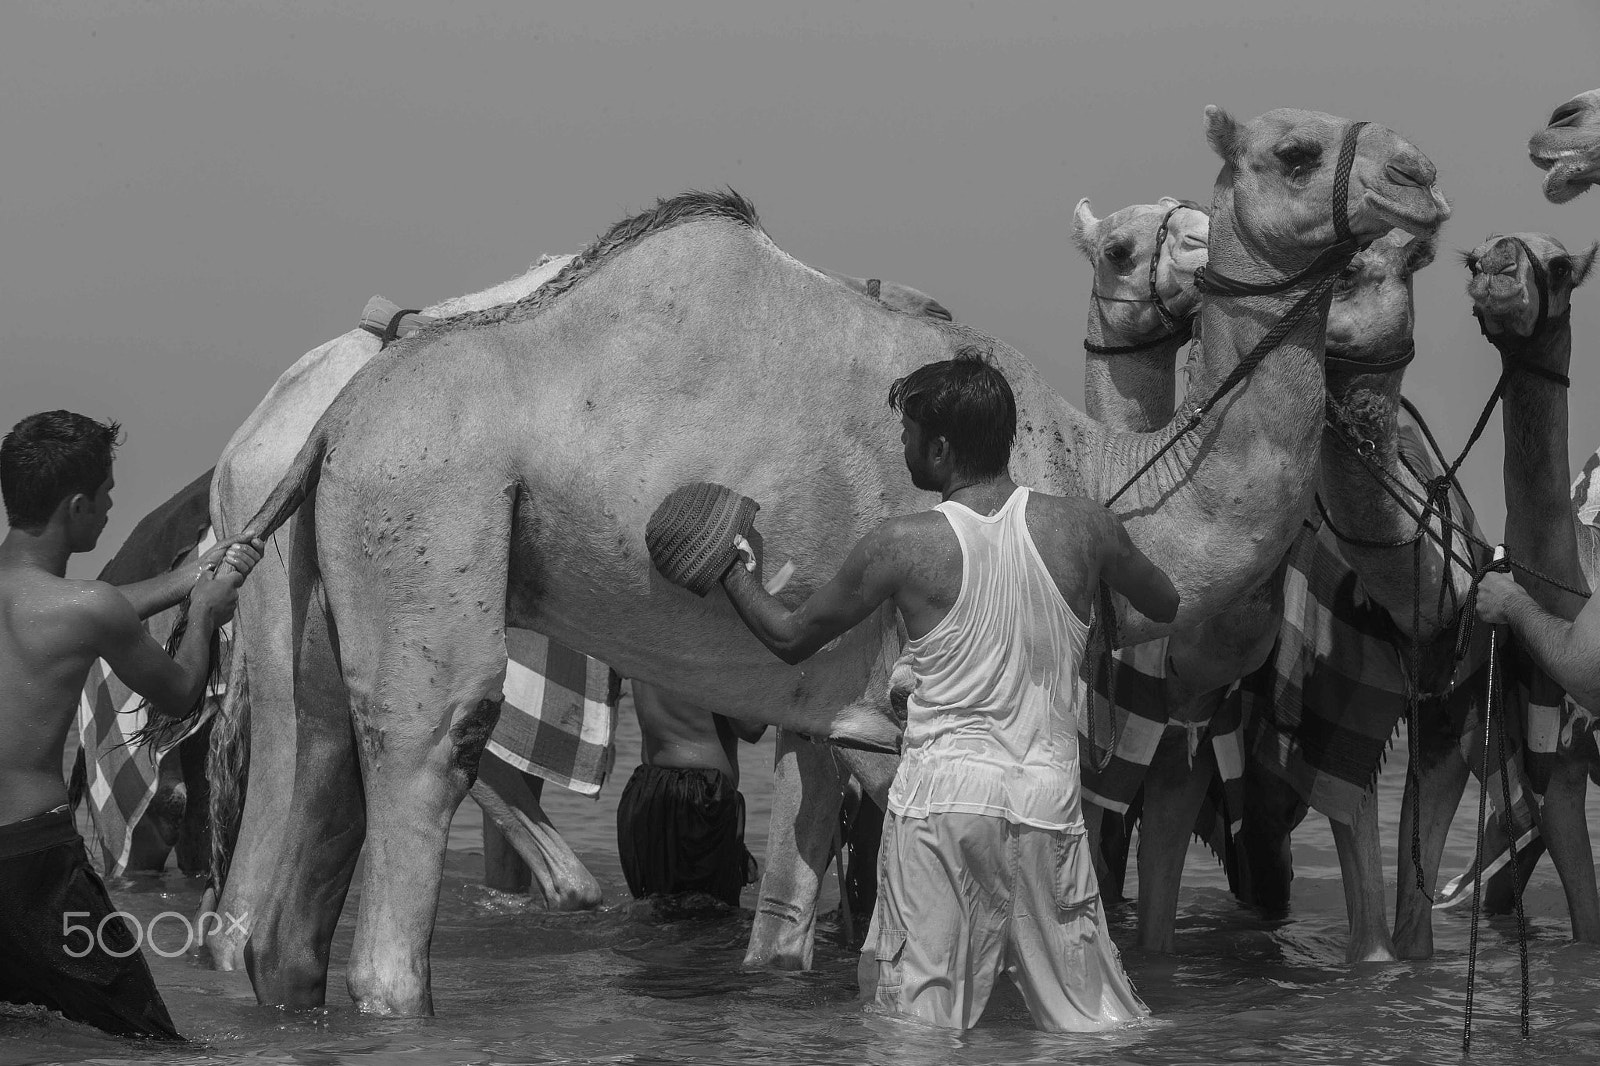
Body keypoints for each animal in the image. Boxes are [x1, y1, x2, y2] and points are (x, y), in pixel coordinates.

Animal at [229, 107, 1447, 1015]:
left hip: (333, 556)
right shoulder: (899, 700)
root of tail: (336, 420)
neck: (1092, 465)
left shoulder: (846, 704)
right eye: (1294, 152)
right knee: (430, 739)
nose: (1422, 178)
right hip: (432, 501)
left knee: (316, 763)